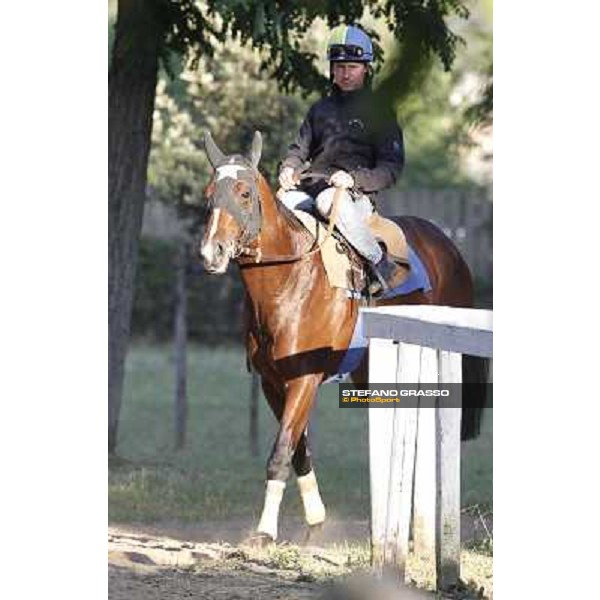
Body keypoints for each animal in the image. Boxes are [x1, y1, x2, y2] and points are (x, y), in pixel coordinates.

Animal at [197, 130, 488, 544]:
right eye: (209, 194)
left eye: (244, 193)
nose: (212, 252)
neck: (291, 280)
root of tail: (449, 246)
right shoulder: (273, 382)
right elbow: (297, 448)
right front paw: (316, 520)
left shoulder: (304, 378)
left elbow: (280, 451)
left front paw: (265, 532)